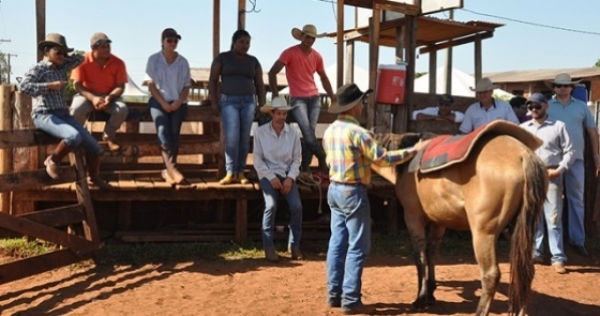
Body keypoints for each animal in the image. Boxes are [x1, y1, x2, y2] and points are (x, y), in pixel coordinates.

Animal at [376, 122, 548, 316]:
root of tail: (524, 155)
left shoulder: (413, 217)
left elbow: (419, 257)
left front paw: (420, 299)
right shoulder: (438, 221)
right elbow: (431, 253)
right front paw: (430, 293)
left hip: (483, 234)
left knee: (491, 274)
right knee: (526, 270)